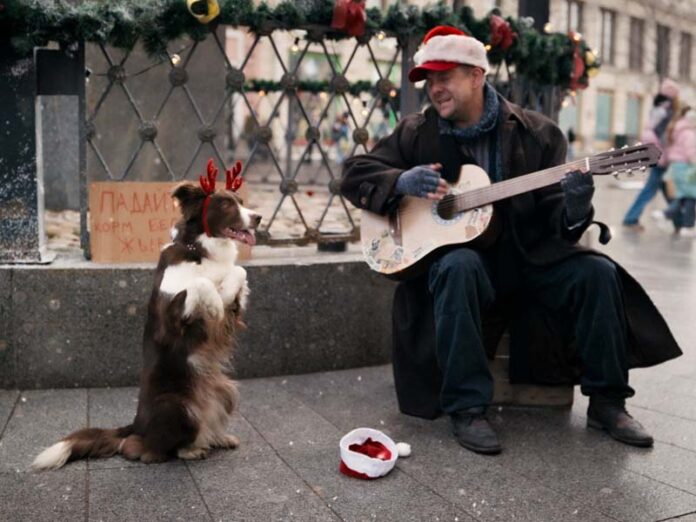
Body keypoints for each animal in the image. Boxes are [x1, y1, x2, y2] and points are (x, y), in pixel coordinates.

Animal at [33, 162, 260, 468]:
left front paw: (223, 293)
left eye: (242, 202)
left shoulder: (233, 312)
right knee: (145, 448)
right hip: (176, 406)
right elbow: (199, 284)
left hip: (225, 391)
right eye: (225, 204)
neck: (201, 251)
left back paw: (218, 438)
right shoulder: (169, 317)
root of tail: (136, 423)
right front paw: (213, 301)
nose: (258, 217)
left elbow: (239, 271)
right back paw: (189, 449)